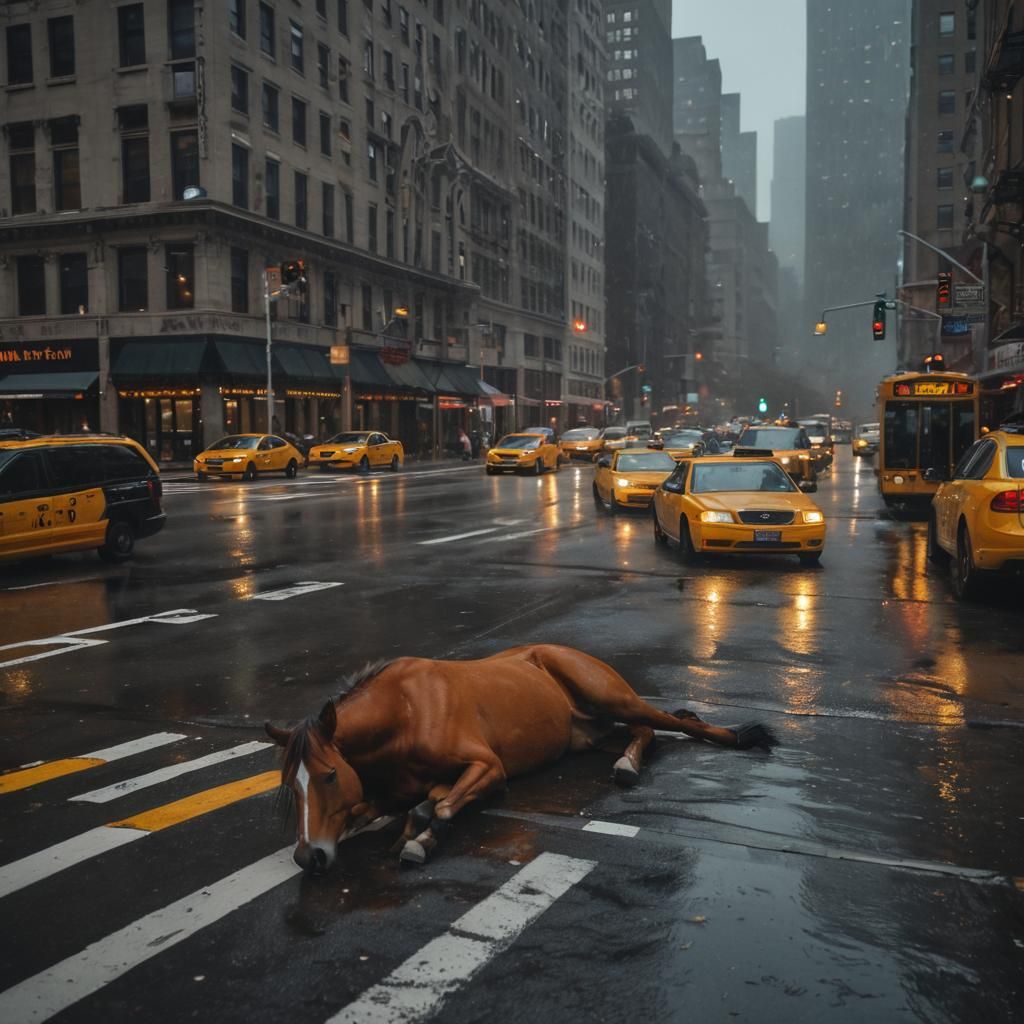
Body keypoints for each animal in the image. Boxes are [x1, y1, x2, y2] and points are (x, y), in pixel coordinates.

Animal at [265, 644, 776, 873]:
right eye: (291, 786)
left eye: (330, 776)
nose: (309, 856)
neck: (404, 712)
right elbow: (410, 803)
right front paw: (410, 823)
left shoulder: (489, 768)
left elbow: (443, 806)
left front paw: (420, 839)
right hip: (585, 734)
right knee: (643, 733)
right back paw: (627, 764)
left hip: (609, 695)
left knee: (674, 721)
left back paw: (740, 736)